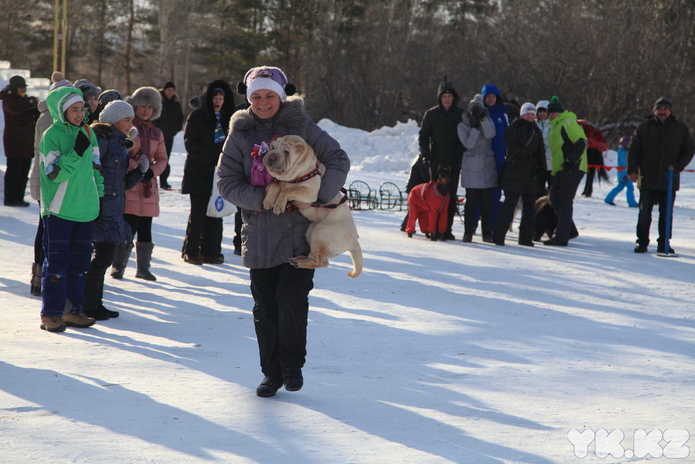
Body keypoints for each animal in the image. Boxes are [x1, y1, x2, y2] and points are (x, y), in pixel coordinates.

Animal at [262, 135, 364, 280]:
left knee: (320, 261)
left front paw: (279, 205)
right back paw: (299, 260)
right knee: (323, 261)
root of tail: (354, 241)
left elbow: (287, 191)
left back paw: (299, 262)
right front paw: (269, 201)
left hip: (321, 232)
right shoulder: (281, 182)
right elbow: (275, 185)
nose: (272, 156)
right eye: (273, 147)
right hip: (311, 231)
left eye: (287, 152)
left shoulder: (309, 192)